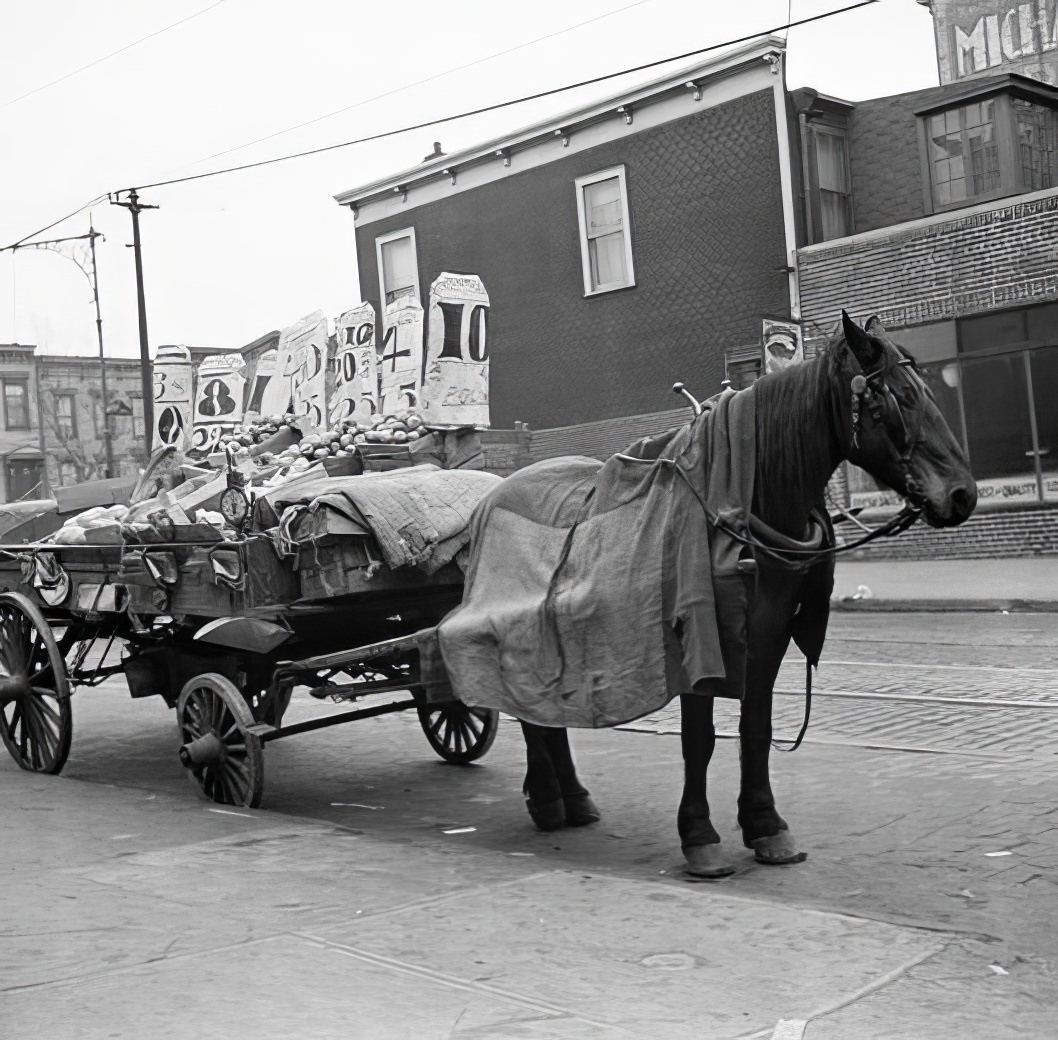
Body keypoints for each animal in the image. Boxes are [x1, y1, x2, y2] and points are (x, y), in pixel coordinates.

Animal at [435, 315, 973, 880]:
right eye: (899, 398)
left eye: (927, 390)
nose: (964, 494)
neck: (743, 500)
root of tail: (492, 493)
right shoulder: (695, 636)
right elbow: (700, 739)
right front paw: (699, 836)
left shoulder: (769, 633)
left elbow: (755, 727)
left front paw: (765, 825)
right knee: (522, 701)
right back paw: (545, 797)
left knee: (540, 701)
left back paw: (572, 798)